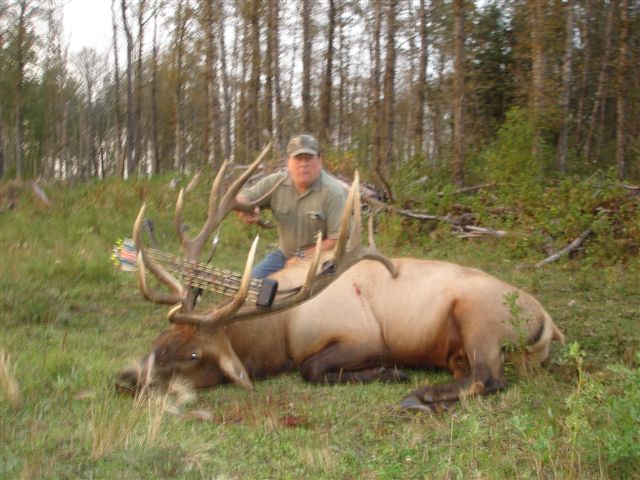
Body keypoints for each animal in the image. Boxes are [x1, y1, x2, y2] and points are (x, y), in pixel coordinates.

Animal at [115, 143, 565, 413]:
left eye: (193, 357)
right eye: (160, 340)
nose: (127, 379)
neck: (281, 332)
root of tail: (549, 323)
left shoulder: (364, 336)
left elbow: (311, 368)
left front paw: (390, 372)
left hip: (479, 319)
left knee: (490, 379)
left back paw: (419, 395)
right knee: (471, 374)